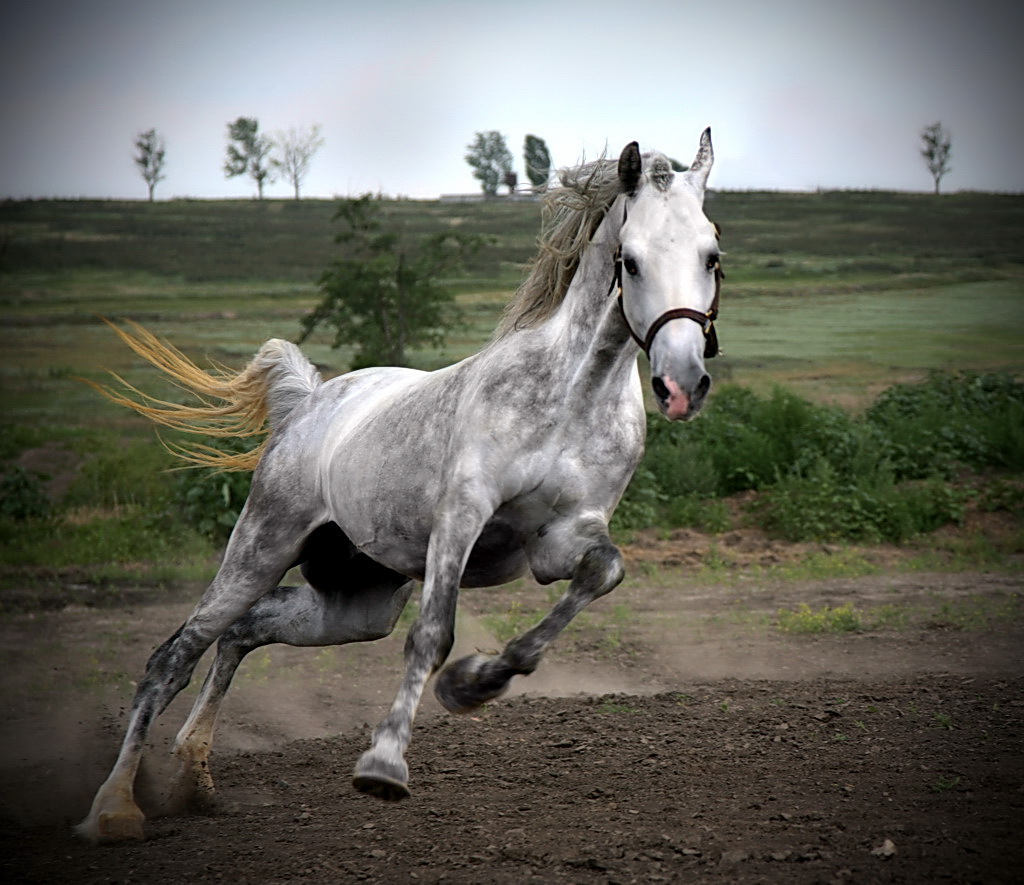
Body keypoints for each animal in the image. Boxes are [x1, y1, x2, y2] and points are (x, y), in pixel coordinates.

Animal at [75, 128, 724, 839]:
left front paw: (477, 683)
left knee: (248, 629)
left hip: (358, 601)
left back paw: (194, 777)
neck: (572, 394)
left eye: (713, 256)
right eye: (630, 262)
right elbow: (433, 634)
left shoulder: (562, 539)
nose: (682, 383)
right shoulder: (462, 516)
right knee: (173, 658)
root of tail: (310, 402)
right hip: (260, 548)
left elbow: (601, 573)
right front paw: (384, 766)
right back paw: (115, 808)